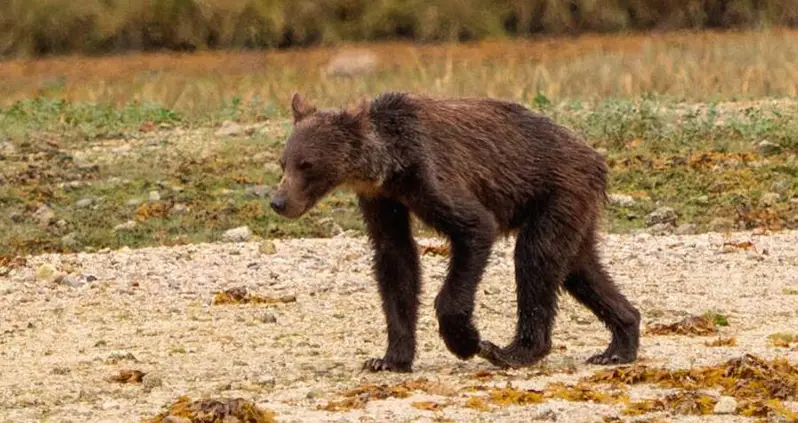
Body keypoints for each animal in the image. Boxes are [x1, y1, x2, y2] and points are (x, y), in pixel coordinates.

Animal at [270, 91, 641, 373]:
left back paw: (512, 351)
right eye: (283, 162)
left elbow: (474, 228)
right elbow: (396, 260)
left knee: (536, 257)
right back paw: (619, 343)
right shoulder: (382, 199)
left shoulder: (431, 174)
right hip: (573, 208)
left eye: (306, 165)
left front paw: (466, 340)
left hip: (558, 190)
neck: (390, 165)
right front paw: (388, 358)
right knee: (579, 268)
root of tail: (596, 157)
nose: (278, 201)